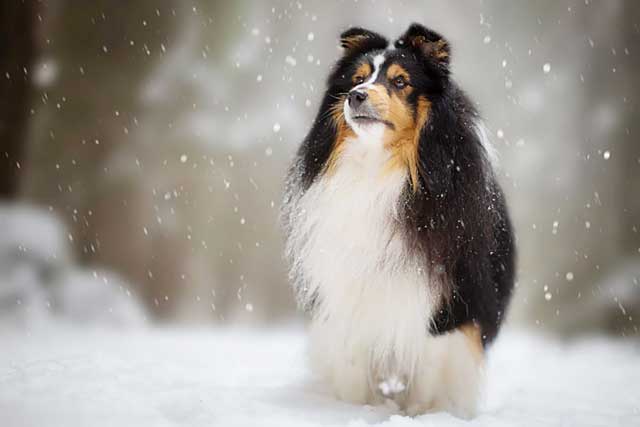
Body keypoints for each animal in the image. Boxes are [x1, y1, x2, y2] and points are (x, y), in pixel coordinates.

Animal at [280, 22, 516, 418]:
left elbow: (429, 365)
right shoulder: (348, 286)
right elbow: (354, 359)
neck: (380, 165)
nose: (356, 96)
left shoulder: (443, 298)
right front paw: (358, 409)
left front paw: (419, 414)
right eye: (357, 78)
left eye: (401, 81)